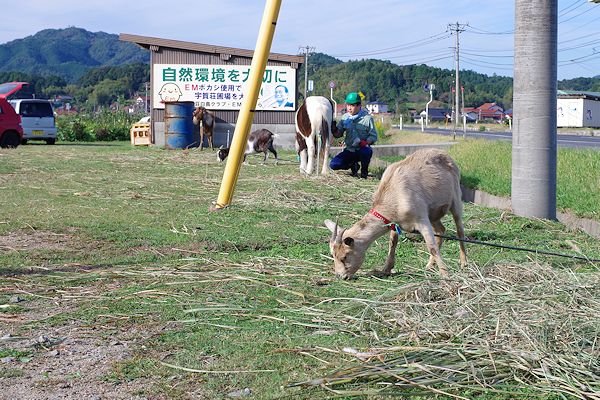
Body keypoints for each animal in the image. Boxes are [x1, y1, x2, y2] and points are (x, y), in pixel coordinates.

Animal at [326, 148, 466, 280]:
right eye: (333, 255)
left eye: (345, 256)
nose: (341, 276)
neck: (394, 195)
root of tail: (445, 154)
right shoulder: (394, 222)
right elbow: (392, 242)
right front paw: (386, 269)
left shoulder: (421, 219)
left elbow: (431, 247)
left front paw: (445, 274)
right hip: (434, 214)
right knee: (441, 230)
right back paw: (430, 266)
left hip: (456, 199)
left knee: (459, 230)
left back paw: (463, 263)